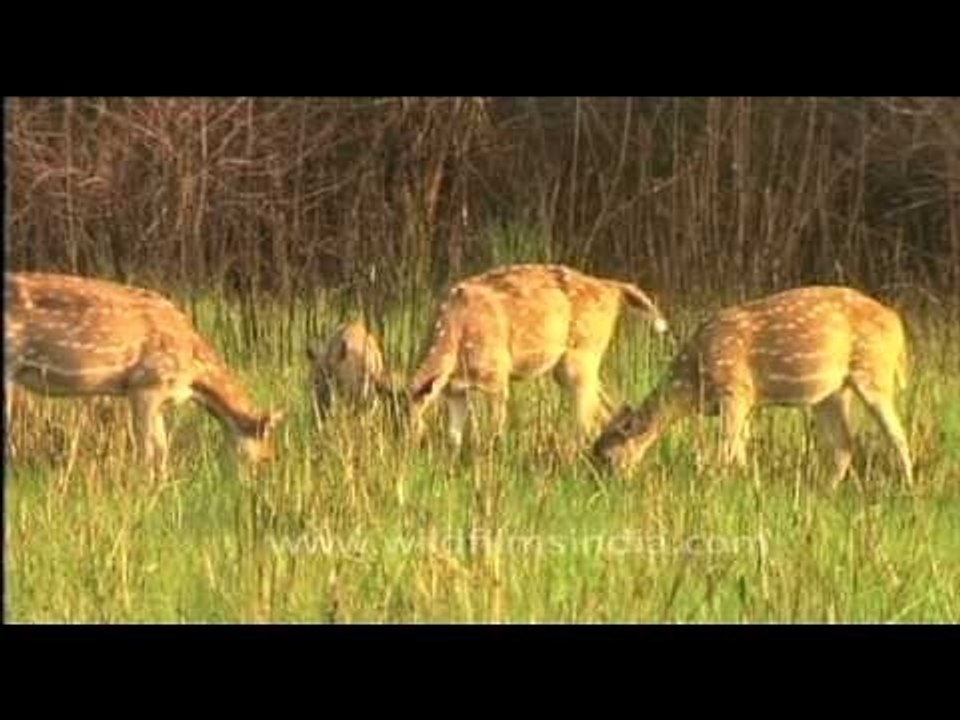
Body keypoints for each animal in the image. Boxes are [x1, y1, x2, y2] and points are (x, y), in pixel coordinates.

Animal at [4, 271, 285, 478]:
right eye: (265, 457)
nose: (253, 482)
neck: (194, 377)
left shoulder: (159, 398)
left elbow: (162, 448)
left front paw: (163, 484)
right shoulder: (146, 384)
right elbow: (147, 449)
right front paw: (143, 485)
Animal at [408, 263, 670, 449]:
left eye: (410, 421)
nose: (409, 449)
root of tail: (613, 289)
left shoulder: (497, 374)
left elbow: (494, 431)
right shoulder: (455, 390)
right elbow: (454, 438)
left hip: (582, 355)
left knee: (589, 419)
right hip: (570, 367)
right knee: (609, 408)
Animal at [590, 285, 913, 487]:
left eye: (607, 456)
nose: (601, 485)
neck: (695, 380)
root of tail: (896, 324)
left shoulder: (735, 390)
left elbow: (728, 448)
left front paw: (717, 483)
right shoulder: (744, 402)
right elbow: (741, 448)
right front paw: (746, 484)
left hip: (873, 371)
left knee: (897, 435)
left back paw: (908, 488)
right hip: (831, 393)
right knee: (844, 445)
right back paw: (826, 491)